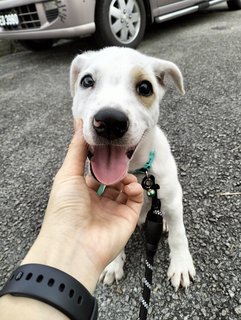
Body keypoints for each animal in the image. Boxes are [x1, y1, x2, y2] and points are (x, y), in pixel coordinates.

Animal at [69, 47, 196, 290]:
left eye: (145, 88)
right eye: (87, 81)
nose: (109, 121)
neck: (137, 172)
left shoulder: (172, 198)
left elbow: (178, 234)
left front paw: (181, 265)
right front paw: (113, 264)